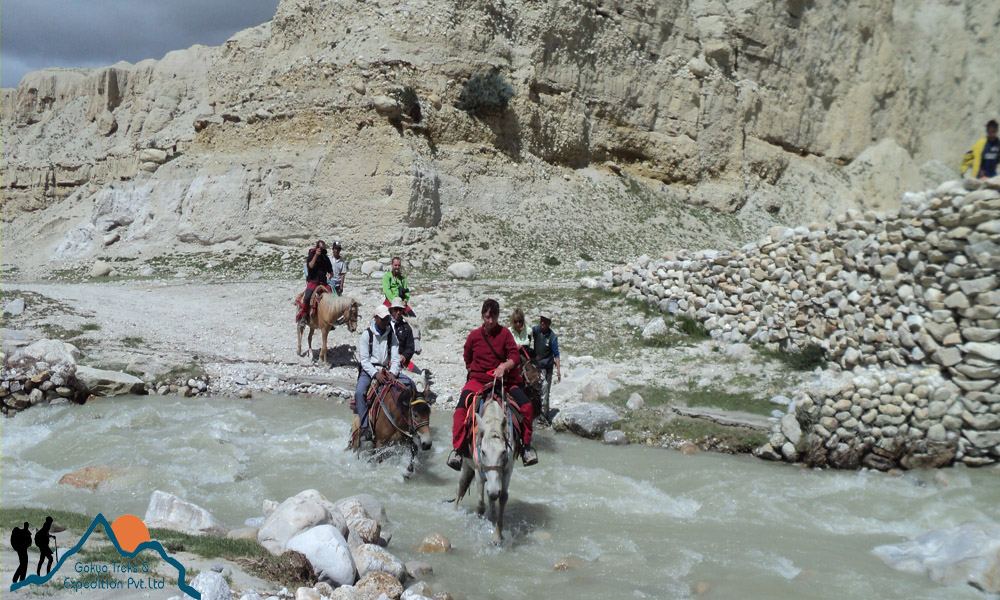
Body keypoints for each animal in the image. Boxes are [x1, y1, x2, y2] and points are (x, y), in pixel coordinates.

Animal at [452, 384, 516, 544]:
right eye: (483, 451)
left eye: (503, 452)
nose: (493, 491)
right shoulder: (478, 472)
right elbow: (480, 505)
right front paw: (479, 527)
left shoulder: (507, 471)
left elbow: (502, 498)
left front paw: (498, 535)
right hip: (466, 467)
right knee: (460, 487)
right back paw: (454, 511)